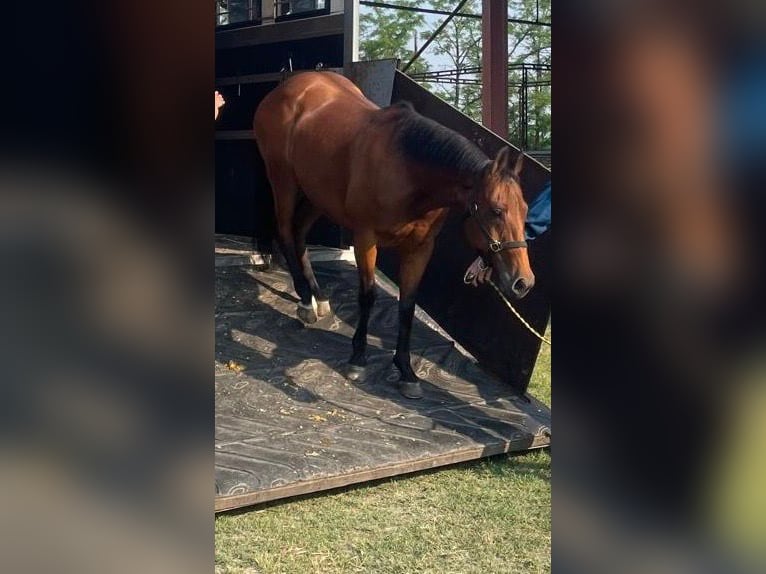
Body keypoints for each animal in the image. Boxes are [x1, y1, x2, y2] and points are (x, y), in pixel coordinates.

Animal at [253, 71, 534, 399]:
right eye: (496, 210)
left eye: (525, 210)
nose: (523, 282)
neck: (410, 170)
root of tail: (286, 88)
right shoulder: (365, 239)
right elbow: (368, 296)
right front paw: (358, 358)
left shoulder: (420, 248)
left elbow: (407, 306)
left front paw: (406, 371)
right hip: (283, 180)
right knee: (286, 232)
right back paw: (305, 301)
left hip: (317, 194)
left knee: (298, 235)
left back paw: (317, 297)